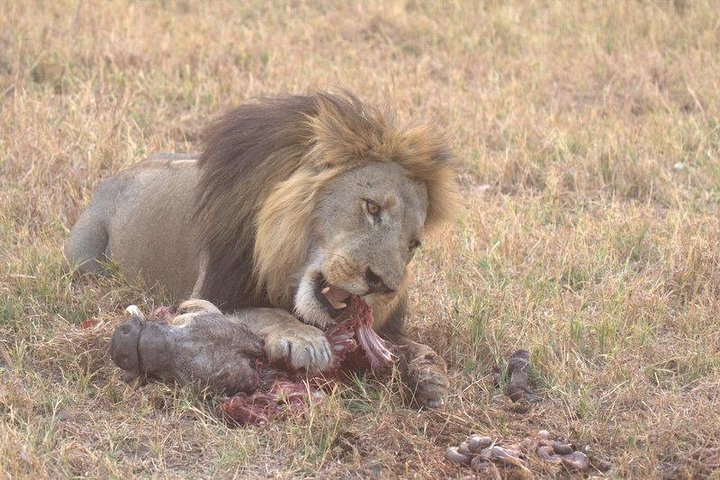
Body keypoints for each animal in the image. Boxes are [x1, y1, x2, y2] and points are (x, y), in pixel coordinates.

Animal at [69, 92, 462, 406]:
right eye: (372, 207)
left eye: (413, 244)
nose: (384, 285)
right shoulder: (206, 294)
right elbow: (259, 313)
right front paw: (301, 337)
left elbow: (411, 347)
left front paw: (431, 374)